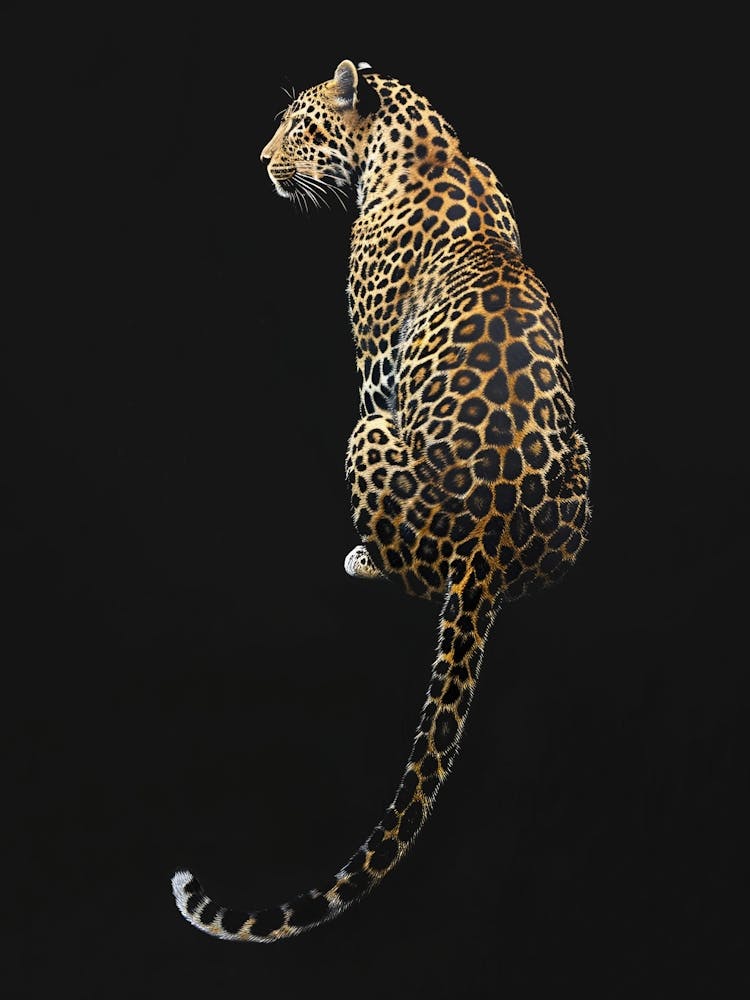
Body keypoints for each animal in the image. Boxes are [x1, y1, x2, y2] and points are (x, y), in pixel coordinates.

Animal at [171, 58, 591, 942]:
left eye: (297, 127)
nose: (261, 162)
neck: (427, 144)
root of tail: (491, 538)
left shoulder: (376, 366)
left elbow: (375, 376)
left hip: (366, 436)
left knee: (413, 572)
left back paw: (366, 558)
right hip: (582, 459)